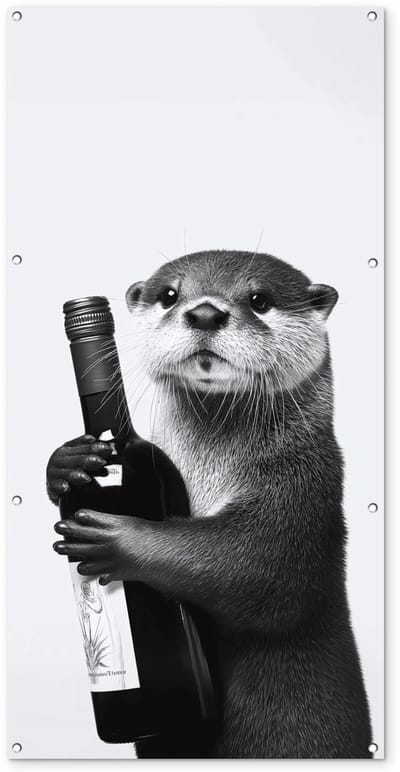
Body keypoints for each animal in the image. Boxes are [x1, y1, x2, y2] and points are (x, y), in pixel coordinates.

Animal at [48, 250, 372, 758]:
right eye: (169, 295)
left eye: (259, 299)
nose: (204, 312)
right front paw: (66, 462)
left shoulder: (304, 487)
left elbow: (259, 566)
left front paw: (121, 538)